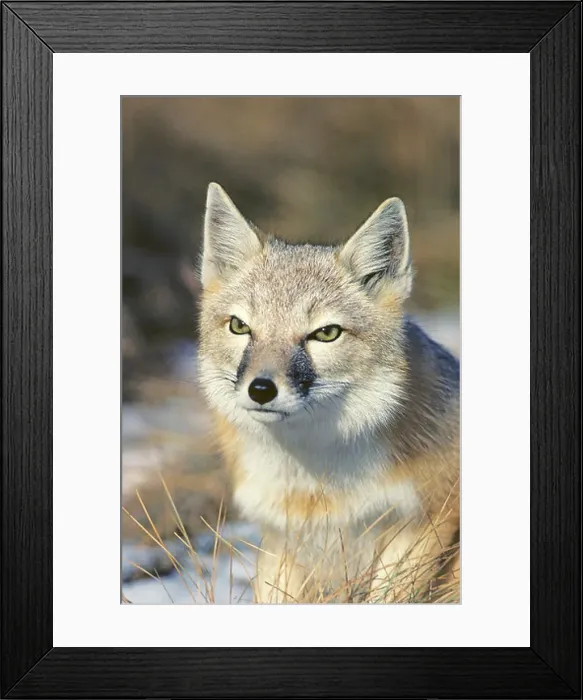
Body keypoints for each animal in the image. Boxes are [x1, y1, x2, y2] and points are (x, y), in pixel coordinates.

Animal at [198, 182, 460, 603]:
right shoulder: (280, 538)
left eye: (326, 333)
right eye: (240, 327)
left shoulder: (427, 520)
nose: (260, 389)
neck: (315, 487)